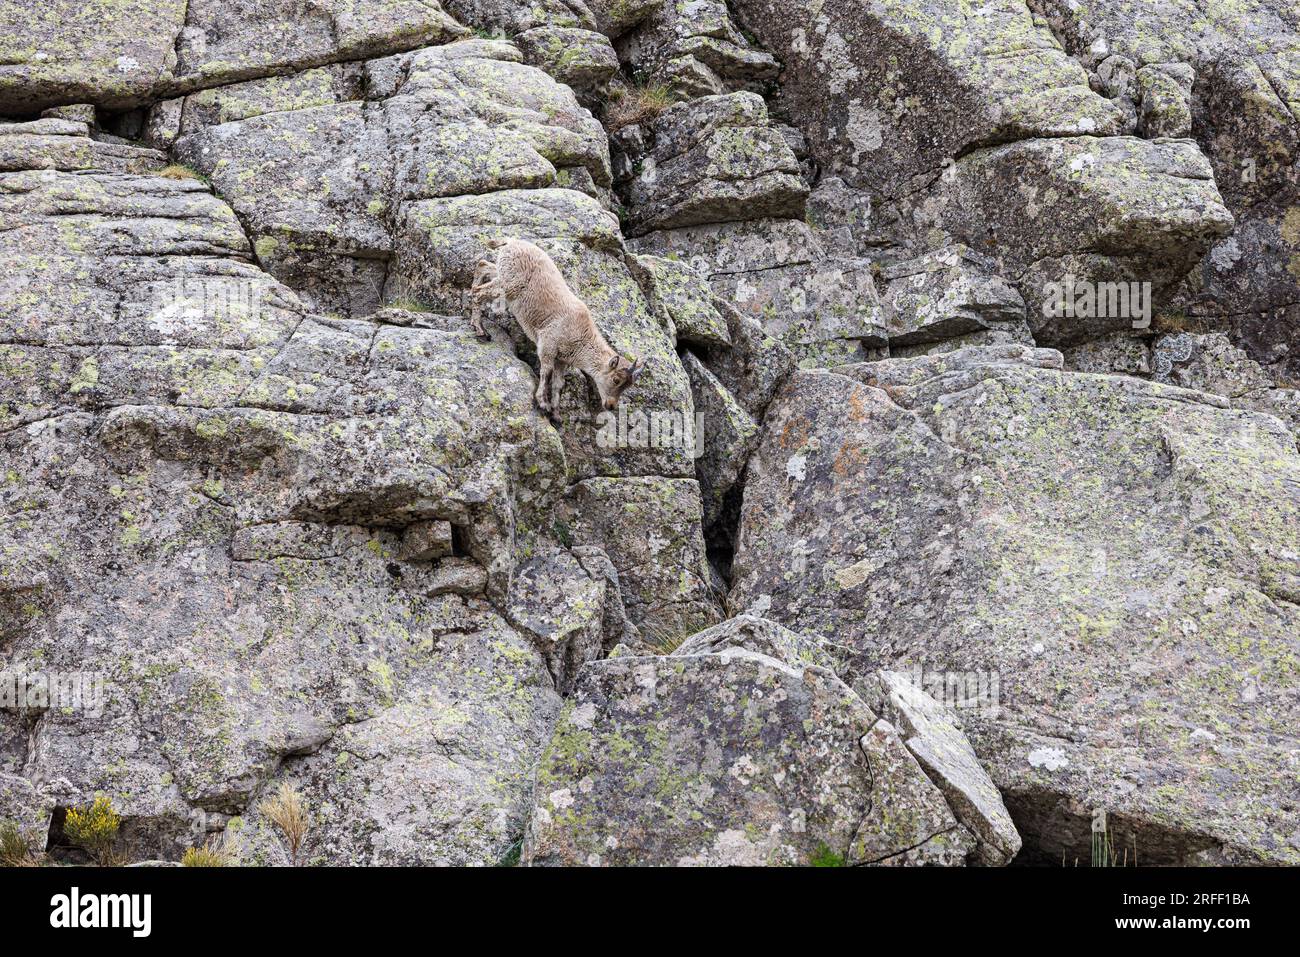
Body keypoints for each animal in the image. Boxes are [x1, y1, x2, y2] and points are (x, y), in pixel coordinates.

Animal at [470, 238, 645, 417]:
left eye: (628, 386)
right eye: (616, 380)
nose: (610, 405)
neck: (581, 337)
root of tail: (512, 241)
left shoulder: (562, 359)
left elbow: (559, 383)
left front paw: (556, 413)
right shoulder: (548, 343)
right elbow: (546, 372)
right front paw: (543, 403)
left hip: (502, 273)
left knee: (483, 266)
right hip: (508, 285)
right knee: (478, 293)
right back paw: (480, 330)